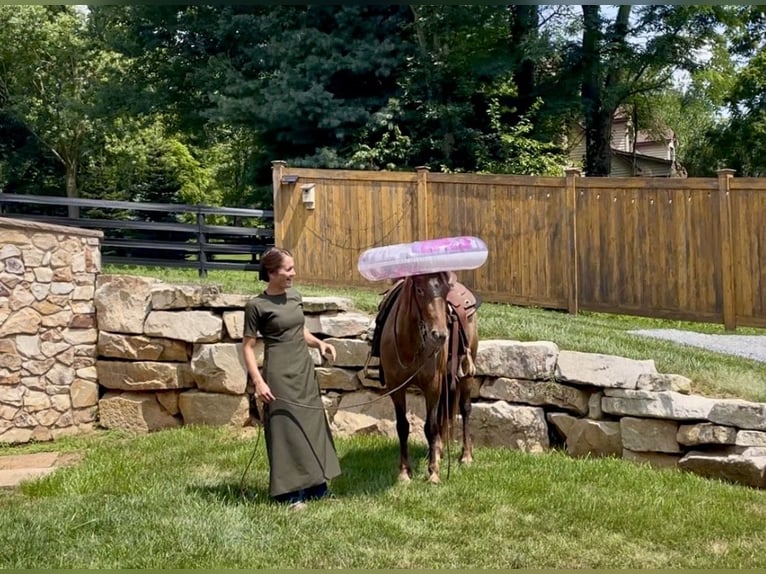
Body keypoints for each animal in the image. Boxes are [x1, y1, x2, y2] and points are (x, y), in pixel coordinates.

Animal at [376, 271, 479, 484]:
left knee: (465, 409)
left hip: (466, 371)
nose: (440, 335)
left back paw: (465, 455)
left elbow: (430, 427)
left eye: (445, 290)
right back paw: (438, 451)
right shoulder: (396, 387)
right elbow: (403, 426)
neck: (410, 345)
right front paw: (404, 472)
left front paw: (433, 473)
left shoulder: (432, 386)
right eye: (419, 290)